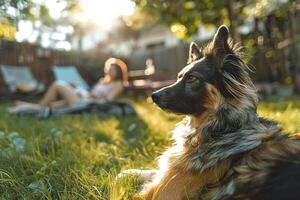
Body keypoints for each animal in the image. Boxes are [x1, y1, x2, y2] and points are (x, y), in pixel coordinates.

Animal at [119, 25, 300, 200]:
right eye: (179, 77)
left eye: (192, 78)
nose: (153, 96)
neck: (219, 130)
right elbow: (153, 171)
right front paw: (127, 173)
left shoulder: (161, 193)